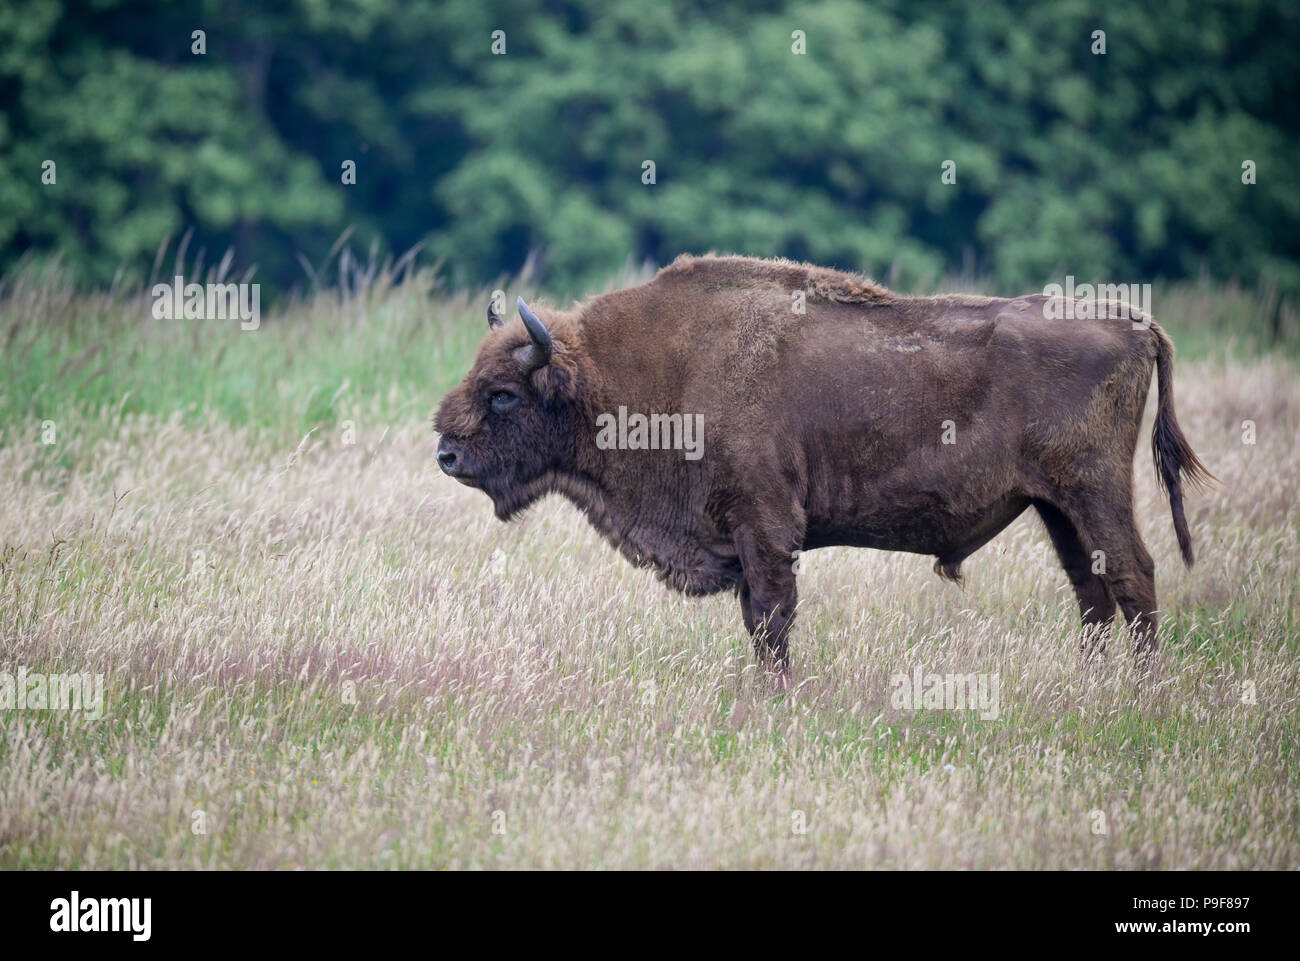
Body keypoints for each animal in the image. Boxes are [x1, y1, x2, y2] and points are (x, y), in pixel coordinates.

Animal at [434, 256, 1206, 676]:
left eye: (503, 394)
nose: (445, 452)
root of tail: (1132, 322)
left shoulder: (765, 528)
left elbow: (772, 619)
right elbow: (759, 619)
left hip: (1092, 492)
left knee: (1133, 578)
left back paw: (1141, 692)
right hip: (1056, 506)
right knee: (1092, 592)